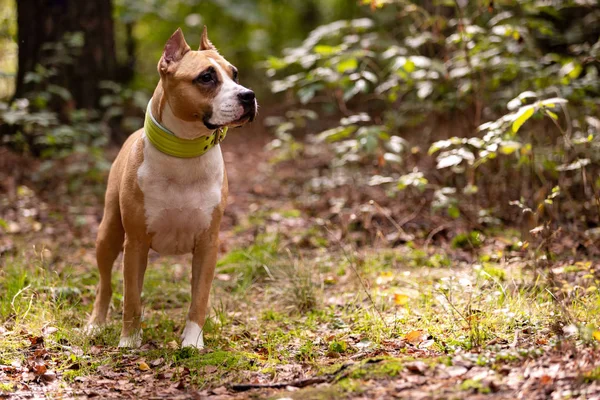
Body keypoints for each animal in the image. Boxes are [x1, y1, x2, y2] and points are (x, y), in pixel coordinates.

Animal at [86, 26, 258, 348]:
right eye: (206, 77)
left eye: (235, 74)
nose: (248, 95)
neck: (185, 153)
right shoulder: (135, 243)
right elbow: (131, 297)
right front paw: (129, 340)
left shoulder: (208, 244)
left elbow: (199, 297)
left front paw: (193, 340)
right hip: (109, 233)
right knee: (105, 283)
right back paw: (95, 324)